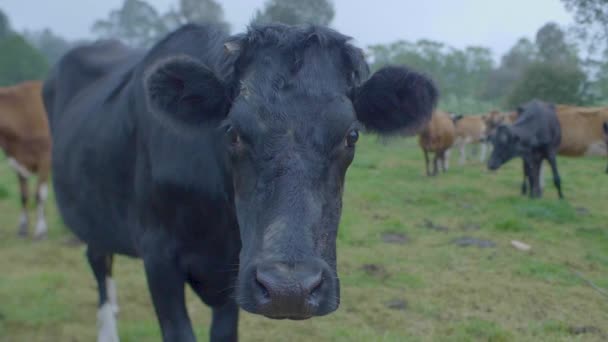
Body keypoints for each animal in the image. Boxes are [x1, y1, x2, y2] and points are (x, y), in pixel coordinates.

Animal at [0, 81, 51, 239]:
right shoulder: (17, 162)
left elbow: (39, 195)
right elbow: (23, 196)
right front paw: (22, 229)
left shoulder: (45, 158)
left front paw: (40, 231)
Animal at [44, 22, 436, 340]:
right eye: (232, 131)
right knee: (99, 263)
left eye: (351, 135)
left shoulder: (233, 271)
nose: (289, 289)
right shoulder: (158, 258)